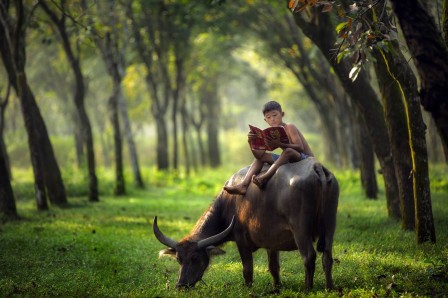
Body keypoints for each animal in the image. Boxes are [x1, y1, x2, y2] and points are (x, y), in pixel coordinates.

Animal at [152, 158, 338, 292]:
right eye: (178, 259)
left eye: (195, 258)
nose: (181, 285)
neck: (229, 203)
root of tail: (317, 167)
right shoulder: (272, 242)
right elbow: (274, 267)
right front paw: (276, 287)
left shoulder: (242, 241)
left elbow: (247, 269)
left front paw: (248, 288)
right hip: (330, 225)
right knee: (327, 256)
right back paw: (329, 287)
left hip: (300, 230)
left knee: (309, 256)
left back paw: (308, 288)